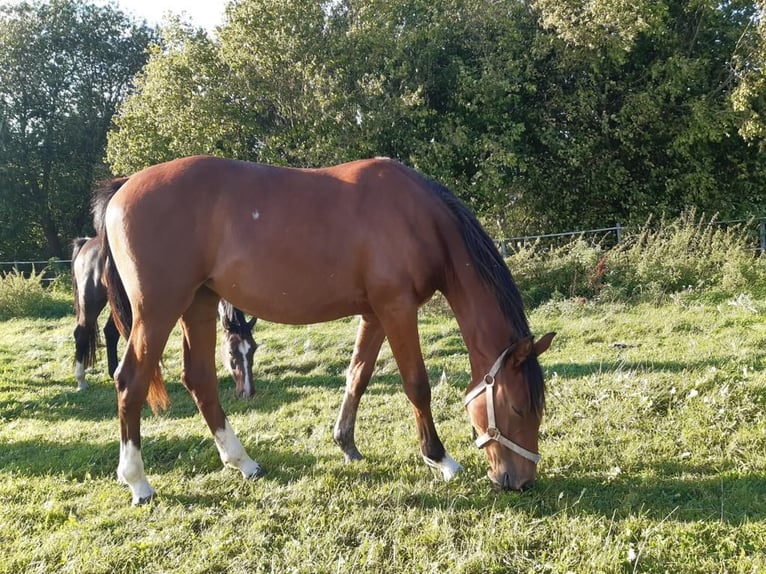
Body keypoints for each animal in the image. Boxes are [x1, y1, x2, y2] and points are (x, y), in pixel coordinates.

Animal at [70, 233, 255, 396]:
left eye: (253, 348)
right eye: (231, 352)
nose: (248, 392)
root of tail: (87, 242)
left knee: (110, 332)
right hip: (92, 301)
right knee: (81, 333)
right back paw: (81, 381)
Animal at [93, 156, 556, 504]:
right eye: (518, 409)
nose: (521, 481)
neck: (419, 217)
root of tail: (124, 185)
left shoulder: (374, 314)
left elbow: (357, 376)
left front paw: (346, 444)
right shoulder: (396, 309)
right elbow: (416, 385)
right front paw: (439, 459)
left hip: (199, 304)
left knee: (200, 379)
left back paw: (244, 463)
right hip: (158, 311)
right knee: (130, 381)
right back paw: (138, 482)